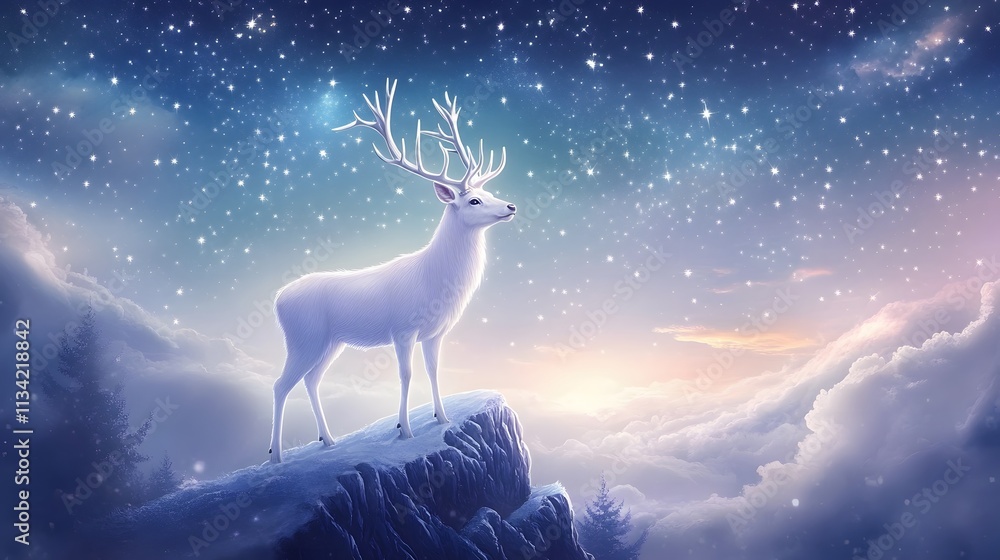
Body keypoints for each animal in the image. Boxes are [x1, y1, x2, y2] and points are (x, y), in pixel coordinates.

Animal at [268, 79, 515, 463]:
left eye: (488, 191)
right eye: (473, 200)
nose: (510, 206)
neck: (437, 279)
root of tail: (276, 299)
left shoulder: (434, 333)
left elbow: (433, 370)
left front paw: (442, 417)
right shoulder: (403, 328)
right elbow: (406, 374)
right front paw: (405, 429)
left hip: (329, 343)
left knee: (311, 380)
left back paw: (329, 440)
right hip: (302, 338)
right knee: (280, 385)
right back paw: (276, 456)